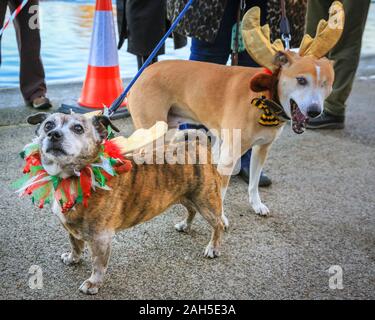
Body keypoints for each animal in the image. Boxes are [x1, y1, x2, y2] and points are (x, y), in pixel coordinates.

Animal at [27, 112, 225, 296]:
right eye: (48, 125)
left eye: (78, 128)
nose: (54, 134)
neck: (74, 177)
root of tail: (198, 145)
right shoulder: (71, 227)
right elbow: (75, 244)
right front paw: (72, 258)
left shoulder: (101, 238)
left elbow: (98, 264)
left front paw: (93, 283)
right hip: (185, 195)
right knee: (191, 210)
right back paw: (185, 225)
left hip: (205, 201)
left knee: (218, 224)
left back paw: (213, 247)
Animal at [128, 2, 346, 218]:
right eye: (301, 80)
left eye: (326, 83)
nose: (314, 111)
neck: (265, 97)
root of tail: (141, 74)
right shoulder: (230, 153)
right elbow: (222, 190)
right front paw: (221, 217)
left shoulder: (262, 148)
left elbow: (254, 182)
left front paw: (257, 205)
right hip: (153, 130)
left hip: (169, 128)